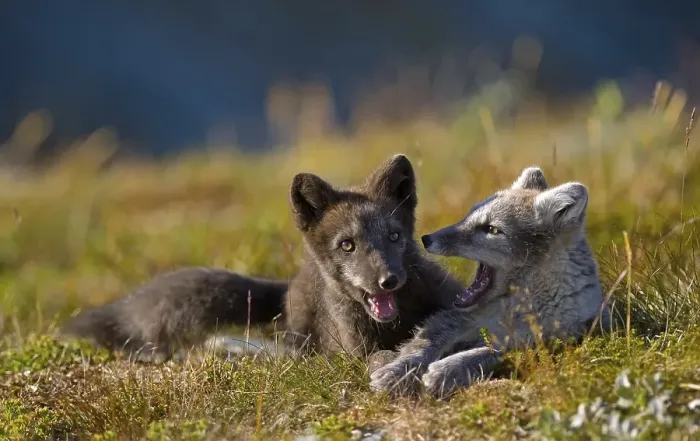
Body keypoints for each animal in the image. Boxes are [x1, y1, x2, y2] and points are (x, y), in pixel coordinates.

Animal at [63, 154, 464, 367]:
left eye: (395, 236)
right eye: (347, 245)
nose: (388, 280)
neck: (398, 321)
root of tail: (290, 287)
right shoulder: (358, 351)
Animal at [369, 166, 612, 398]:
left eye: (492, 229)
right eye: (470, 214)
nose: (426, 239)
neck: (512, 307)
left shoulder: (549, 340)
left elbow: (492, 351)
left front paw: (447, 370)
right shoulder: (454, 319)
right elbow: (423, 345)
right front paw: (396, 372)